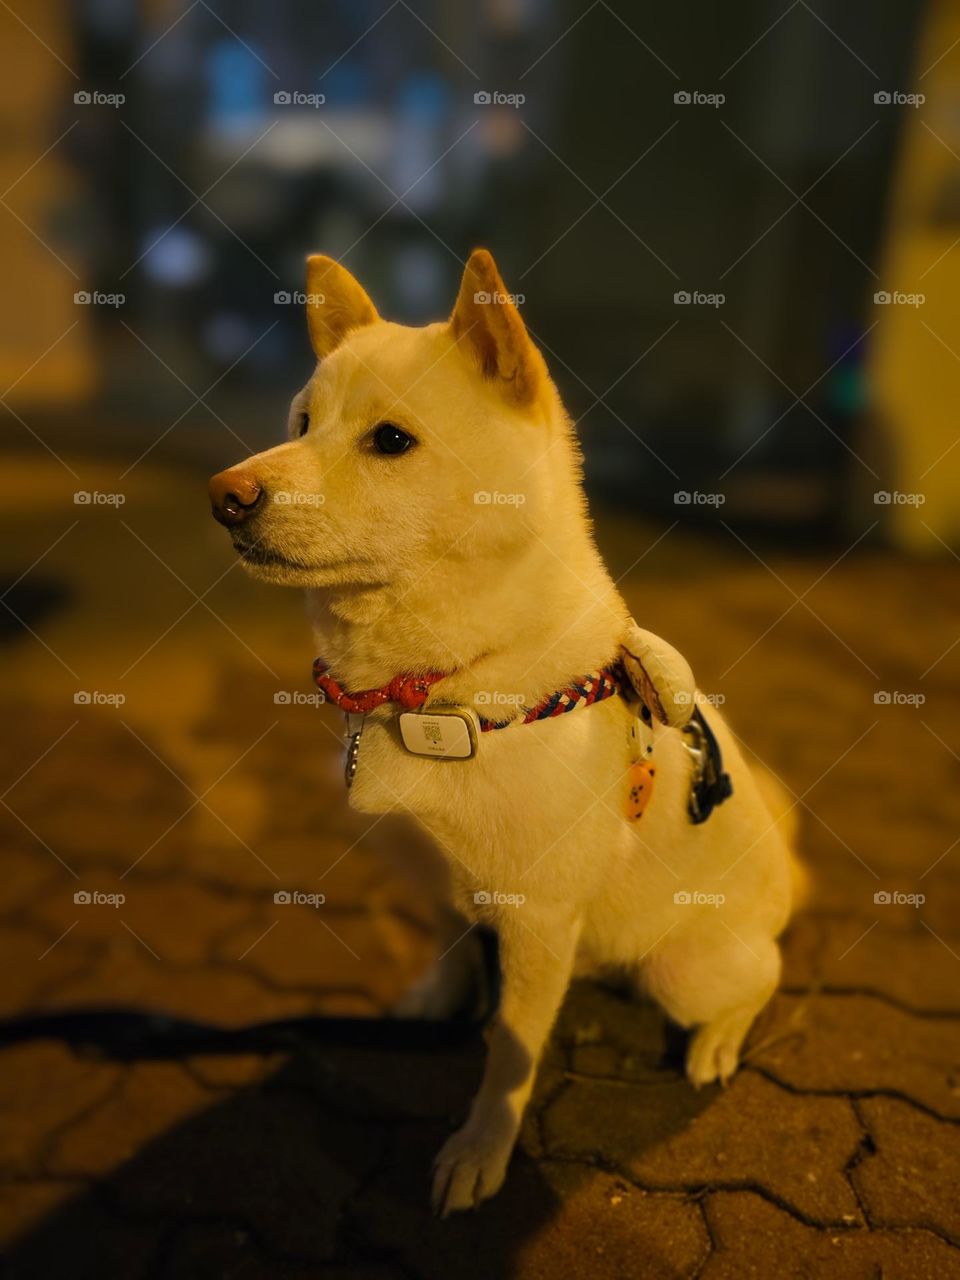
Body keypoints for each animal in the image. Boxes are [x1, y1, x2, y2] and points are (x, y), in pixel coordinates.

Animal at [209, 249, 803, 1218]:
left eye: (390, 441)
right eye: (301, 422)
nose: (225, 496)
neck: (440, 696)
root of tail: (787, 877)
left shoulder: (535, 919)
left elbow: (507, 1056)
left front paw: (481, 1149)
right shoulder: (454, 888)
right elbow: (455, 950)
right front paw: (434, 995)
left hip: (689, 970)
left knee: (762, 979)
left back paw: (718, 1041)